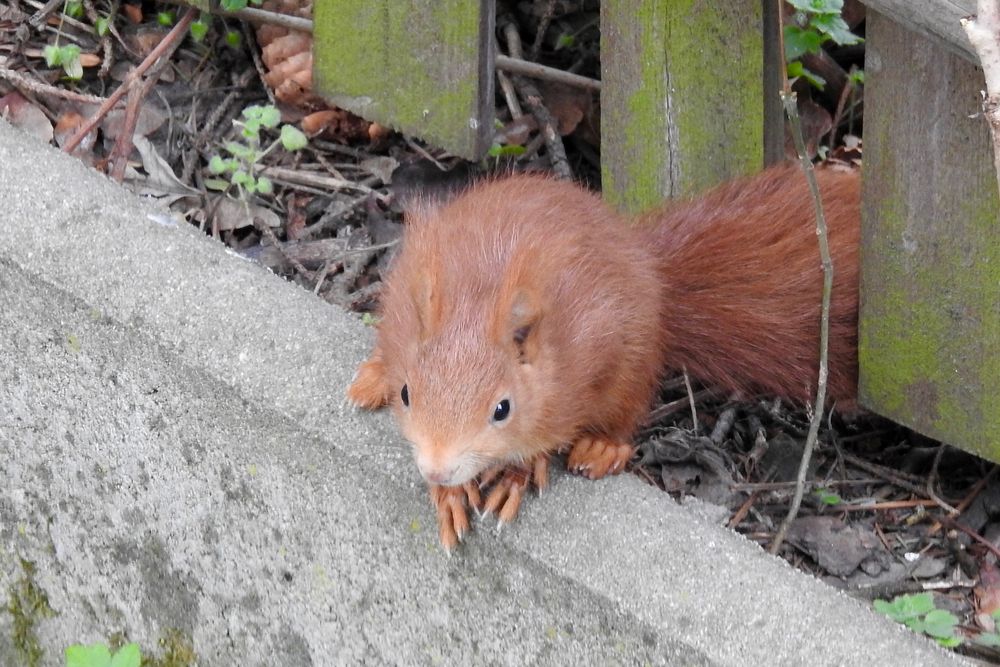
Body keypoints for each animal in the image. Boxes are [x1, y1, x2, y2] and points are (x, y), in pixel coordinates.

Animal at [350, 163, 860, 548]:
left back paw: (601, 446)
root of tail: (645, 260)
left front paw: (513, 476)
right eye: (407, 395)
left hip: (633, 360)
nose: (438, 468)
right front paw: (448, 495)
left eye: (502, 409)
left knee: (625, 411)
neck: (477, 301)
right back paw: (370, 378)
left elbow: (540, 445)